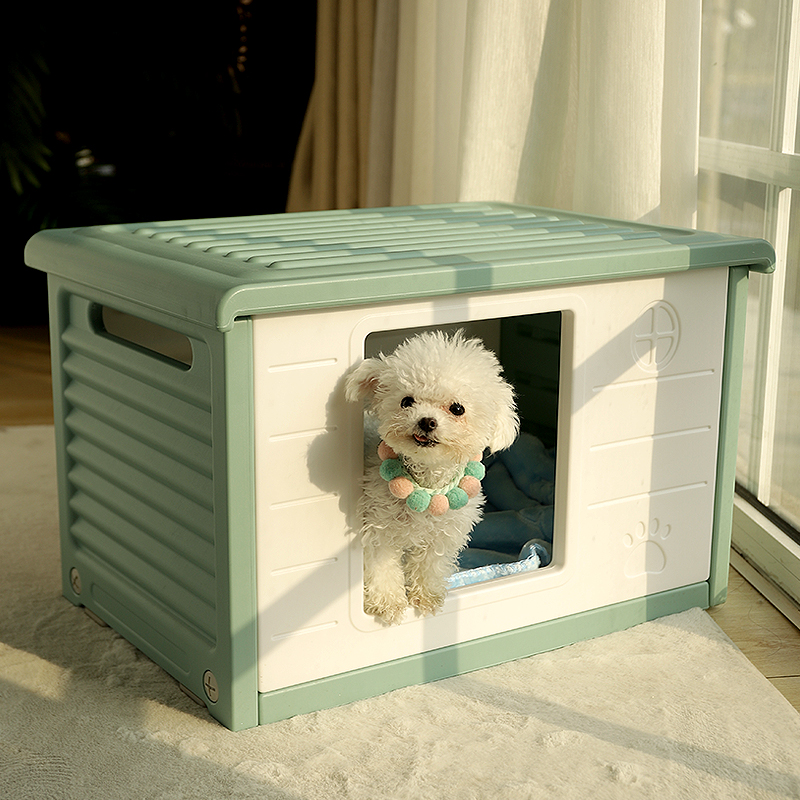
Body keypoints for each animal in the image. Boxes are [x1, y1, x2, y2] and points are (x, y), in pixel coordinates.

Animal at [344, 332, 520, 624]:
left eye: (457, 408)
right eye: (406, 401)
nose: (426, 421)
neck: (427, 485)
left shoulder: (444, 534)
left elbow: (430, 563)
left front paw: (426, 596)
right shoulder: (379, 528)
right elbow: (382, 566)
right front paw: (388, 602)